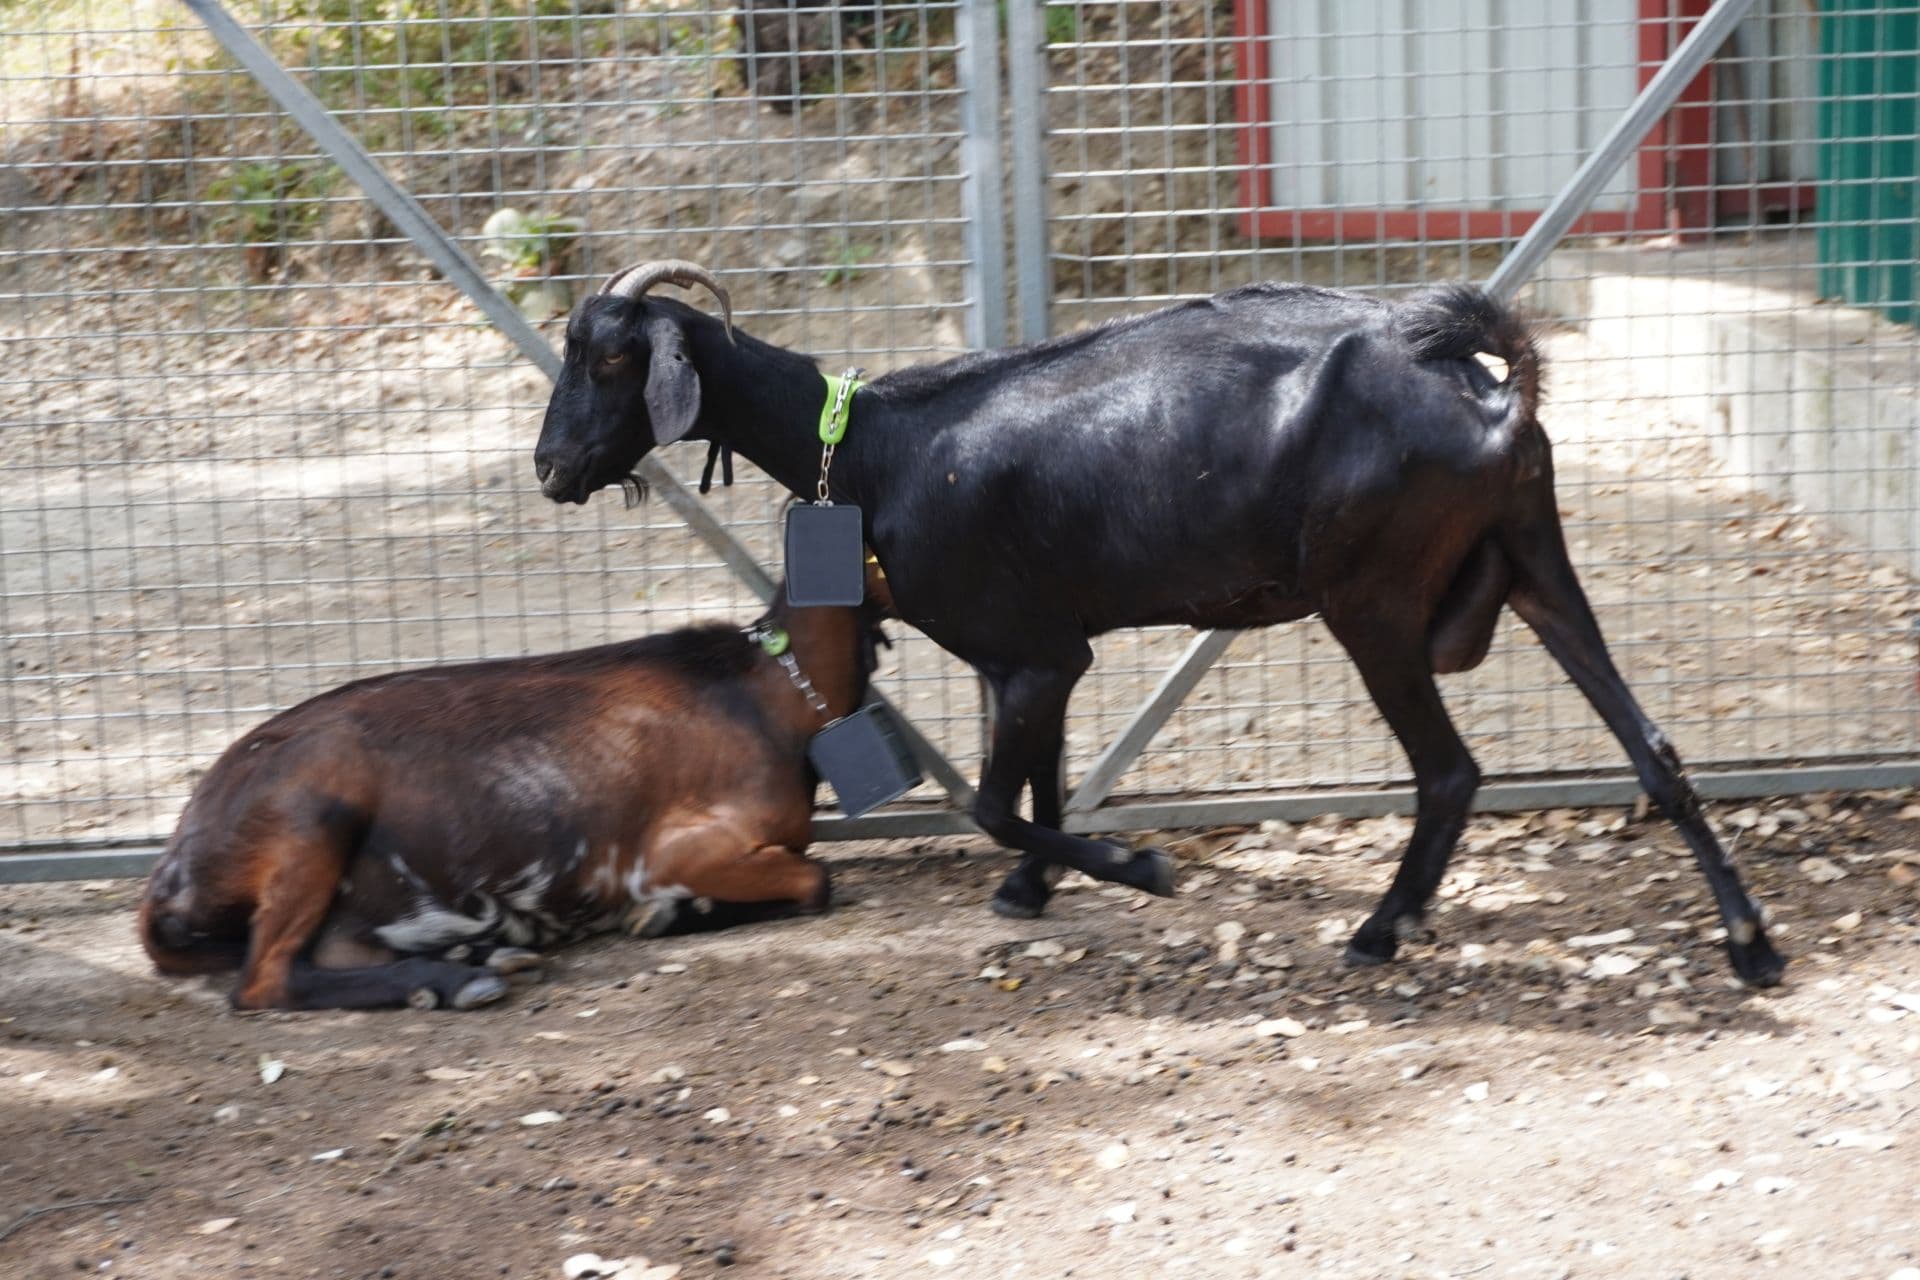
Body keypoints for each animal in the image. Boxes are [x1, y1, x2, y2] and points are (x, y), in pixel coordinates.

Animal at [139, 580, 888, 1010]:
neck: (769, 696)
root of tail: (171, 872)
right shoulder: (674, 851)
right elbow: (816, 881)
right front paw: (667, 914)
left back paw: (477, 957)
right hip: (313, 813)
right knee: (265, 979)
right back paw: (454, 981)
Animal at [532, 262, 1785, 987]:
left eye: (614, 354)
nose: (550, 467)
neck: (878, 446)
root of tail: (1492, 389)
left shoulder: (1030, 651)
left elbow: (996, 803)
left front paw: (1138, 865)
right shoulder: (1042, 654)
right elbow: (1040, 787)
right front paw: (1034, 890)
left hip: (1372, 598)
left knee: (1451, 770)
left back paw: (1381, 929)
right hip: (1534, 556)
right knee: (1655, 748)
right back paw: (1751, 943)